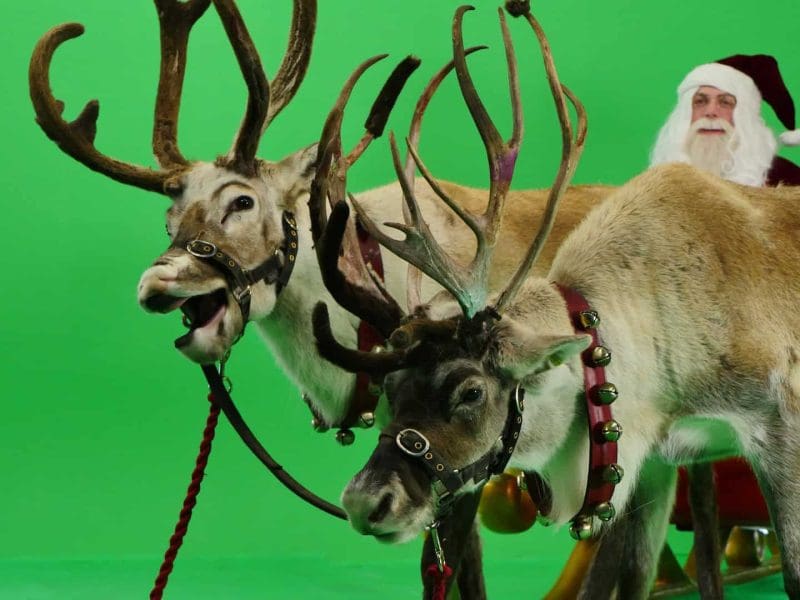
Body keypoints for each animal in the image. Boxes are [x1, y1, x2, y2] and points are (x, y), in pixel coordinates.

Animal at [312, 3, 800, 599]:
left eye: (471, 391)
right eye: (389, 385)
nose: (364, 502)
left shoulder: (783, 427)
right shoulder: (656, 458)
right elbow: (631, 576)